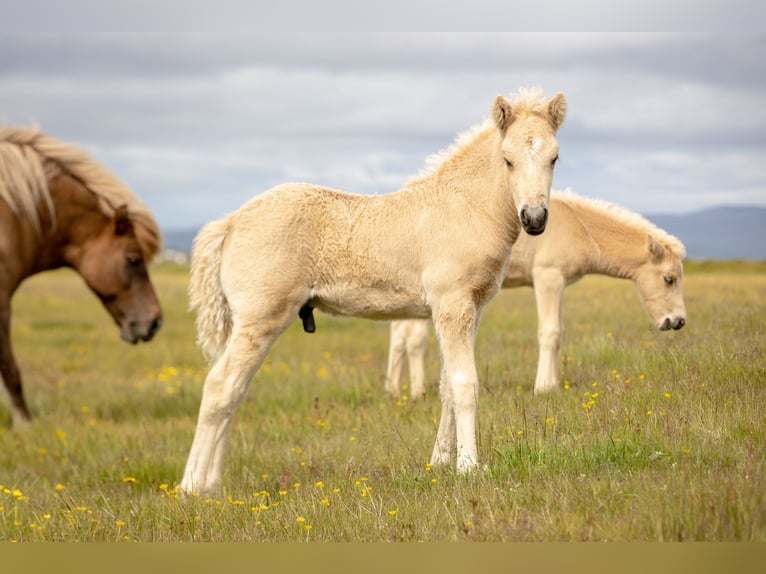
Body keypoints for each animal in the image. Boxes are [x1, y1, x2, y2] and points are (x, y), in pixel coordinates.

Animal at [181, 88, 567, 494]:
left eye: (554, 157)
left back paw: (212, 483)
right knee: (220, 386)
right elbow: (465, 383)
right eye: (508, 159)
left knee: (235, 390)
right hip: (261, 319)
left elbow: (446, 384)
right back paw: (192, 486)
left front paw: (440, 461)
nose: (534, 218)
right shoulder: (452, 305)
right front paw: (469, 467)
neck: (464, 208)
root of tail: (231, 222)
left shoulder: (471, 309)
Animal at [385, 189, 687, 399]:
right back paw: (416, 392)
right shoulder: (547, 277)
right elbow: (549, 332)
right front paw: (542, 387)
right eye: (669, 279)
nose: (677, 321)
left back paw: (394, 391)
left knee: (400, 337)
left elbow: (558, 332)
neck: (579, 227)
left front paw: (552, 384)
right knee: (413, 339)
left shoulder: (559, 282)